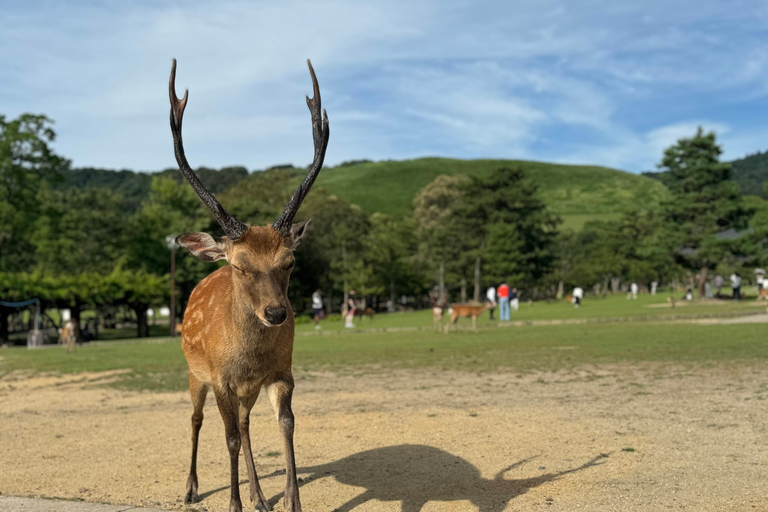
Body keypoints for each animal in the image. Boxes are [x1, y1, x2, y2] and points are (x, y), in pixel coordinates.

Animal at [170, 57, 328, 512]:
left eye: (290, 262)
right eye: (240, 266)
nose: (276, 313)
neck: (249, 358)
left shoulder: (280, 373)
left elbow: (286, 425)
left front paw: (291, 501)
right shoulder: (222, 378)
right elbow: (228, 439)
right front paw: (233, 504)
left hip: (247, 389)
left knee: (244, 422)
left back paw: (260, 495)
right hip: (194, 372)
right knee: (197, 419)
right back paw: (191, 488)